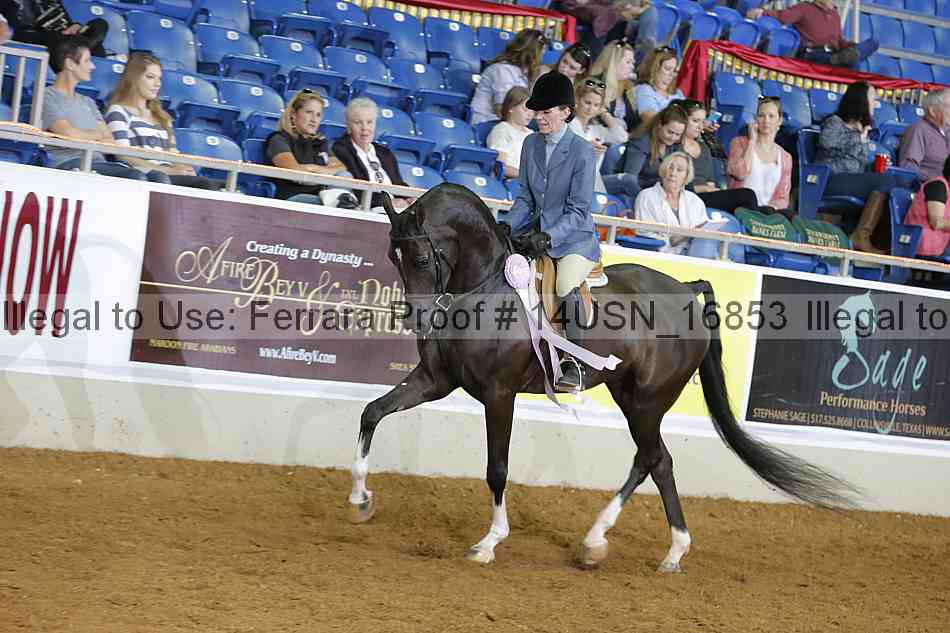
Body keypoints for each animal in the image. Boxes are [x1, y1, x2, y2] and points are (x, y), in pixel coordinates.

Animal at [347, 183, 857, 571]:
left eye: (419, 258)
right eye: (392, 257)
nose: (418, 319)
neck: (486, 288)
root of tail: (686, 291)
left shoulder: (499, 394)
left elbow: (497, 469)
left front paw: (489, 542)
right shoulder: (436, 380)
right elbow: (372, 413)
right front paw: (361, 500)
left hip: (648, 401)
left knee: (653, 459)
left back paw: (640, 546)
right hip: (630, 396)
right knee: (654, 461)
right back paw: (630, 547)